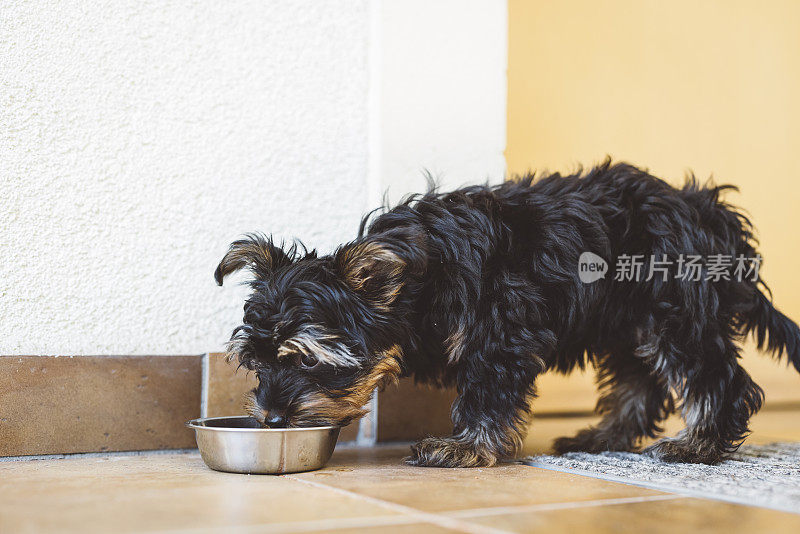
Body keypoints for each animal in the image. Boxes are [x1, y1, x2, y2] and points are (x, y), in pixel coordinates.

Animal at [214, 162, 800, 468]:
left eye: (306, 362)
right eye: (257, 363)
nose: (270, 419)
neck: (421, 283)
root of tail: (711, 213)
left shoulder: (498, 333)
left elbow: (487, 392)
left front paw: (465, 447)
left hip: (674, 307)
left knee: (717, 377)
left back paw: (699, 444)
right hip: (628, 320)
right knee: (640, 381)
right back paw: (604, 436)